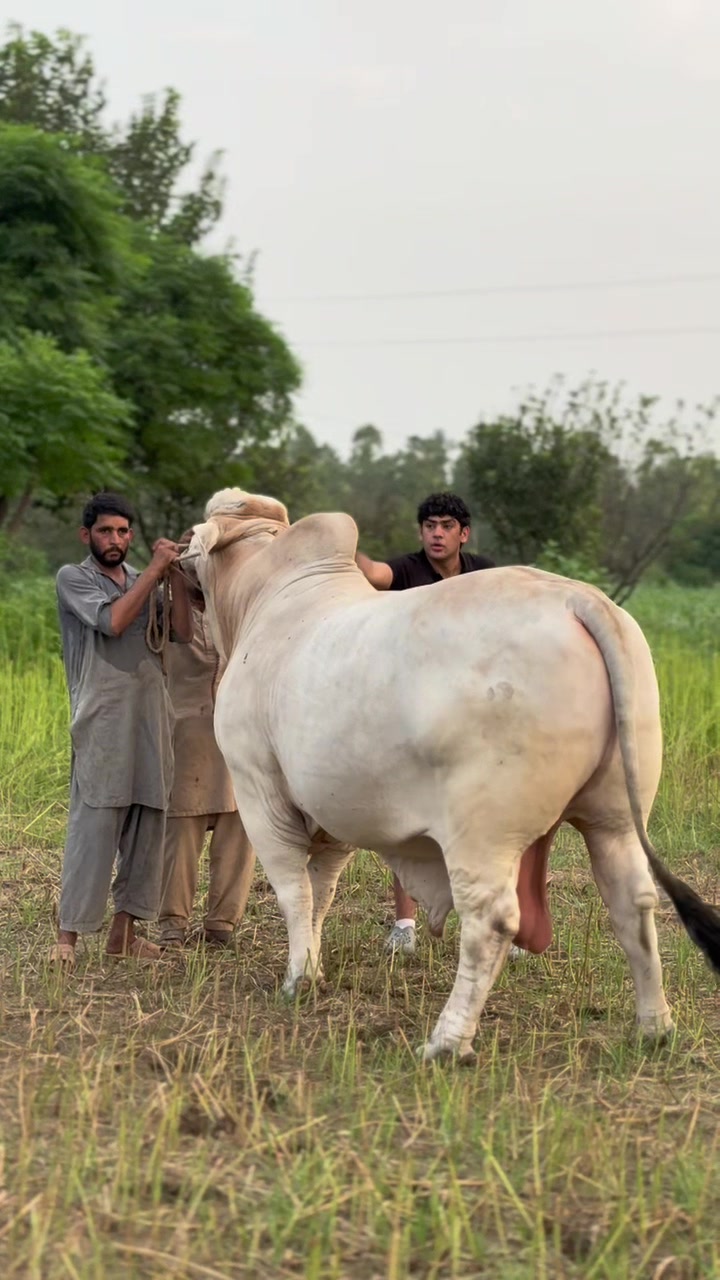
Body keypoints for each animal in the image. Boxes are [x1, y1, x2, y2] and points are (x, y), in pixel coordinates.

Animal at [180, 488, 720, 1061]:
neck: (260, 598)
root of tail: (577, 599)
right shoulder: (333, 810)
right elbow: (321, 891)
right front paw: (315, 966)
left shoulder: (259, 789)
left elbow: (293, 889)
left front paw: (298, 979)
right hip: (613, 817)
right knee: (633, 901)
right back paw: (654, 1026)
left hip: (482, 831)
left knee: (493, 920)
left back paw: (447, 1041)